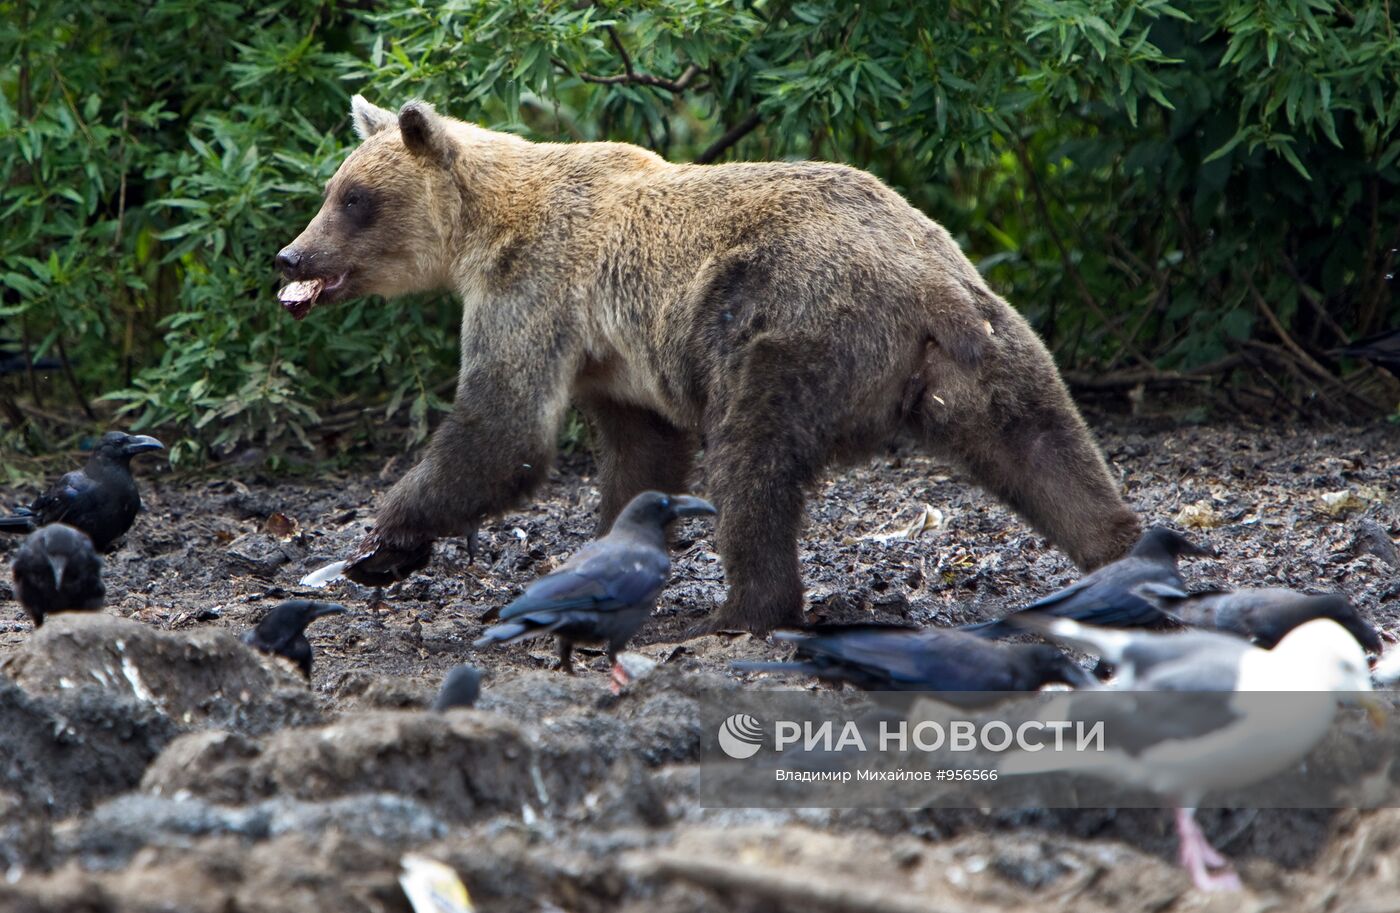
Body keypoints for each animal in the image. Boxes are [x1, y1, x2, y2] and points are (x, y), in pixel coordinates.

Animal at [278, 94, 1142, 635]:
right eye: (332, 187)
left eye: (352, 199)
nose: (291, 254)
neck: (484, 229)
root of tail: (923, 286)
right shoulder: (615, 359)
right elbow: (640, 452)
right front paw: (607, 550)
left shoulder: (536, 294)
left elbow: (503, 431)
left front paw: (382, 540)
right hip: (987, 339)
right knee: (1046, 444)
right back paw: (1121, 550)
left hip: (784, 333)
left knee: (752, 464)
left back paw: (737, 610)